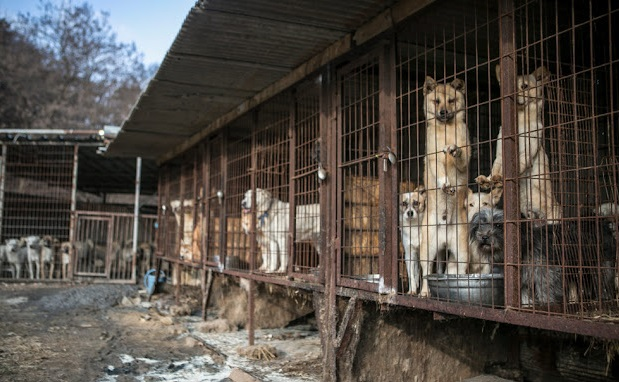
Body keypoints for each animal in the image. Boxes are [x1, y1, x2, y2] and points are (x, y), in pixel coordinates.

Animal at [478, 65, 564, 221]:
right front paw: (488, 180)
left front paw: (499, 178)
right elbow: (495, 170)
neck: (521, 121)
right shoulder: (500, 155)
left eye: (524, 86)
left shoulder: (525, 154)